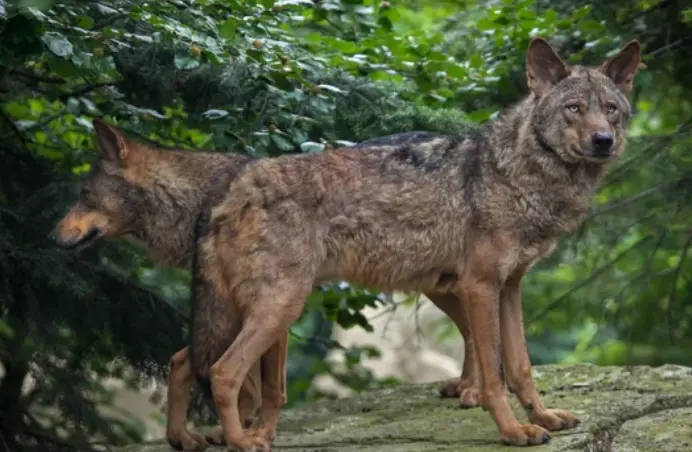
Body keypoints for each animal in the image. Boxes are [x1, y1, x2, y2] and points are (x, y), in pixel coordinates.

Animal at [181, 36, 640, 451]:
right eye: (573, 108)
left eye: (611, 110)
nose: (603, 140)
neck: (518, 174)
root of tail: (234, 186)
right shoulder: (481, 286)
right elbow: (496, 375)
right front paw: (513, 431)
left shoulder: (510, 289)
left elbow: (521, 366)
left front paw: (542, 416)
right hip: (280, 308)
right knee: (223, 373)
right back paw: (242, 441)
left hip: (251, 313)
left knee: (196, 364)